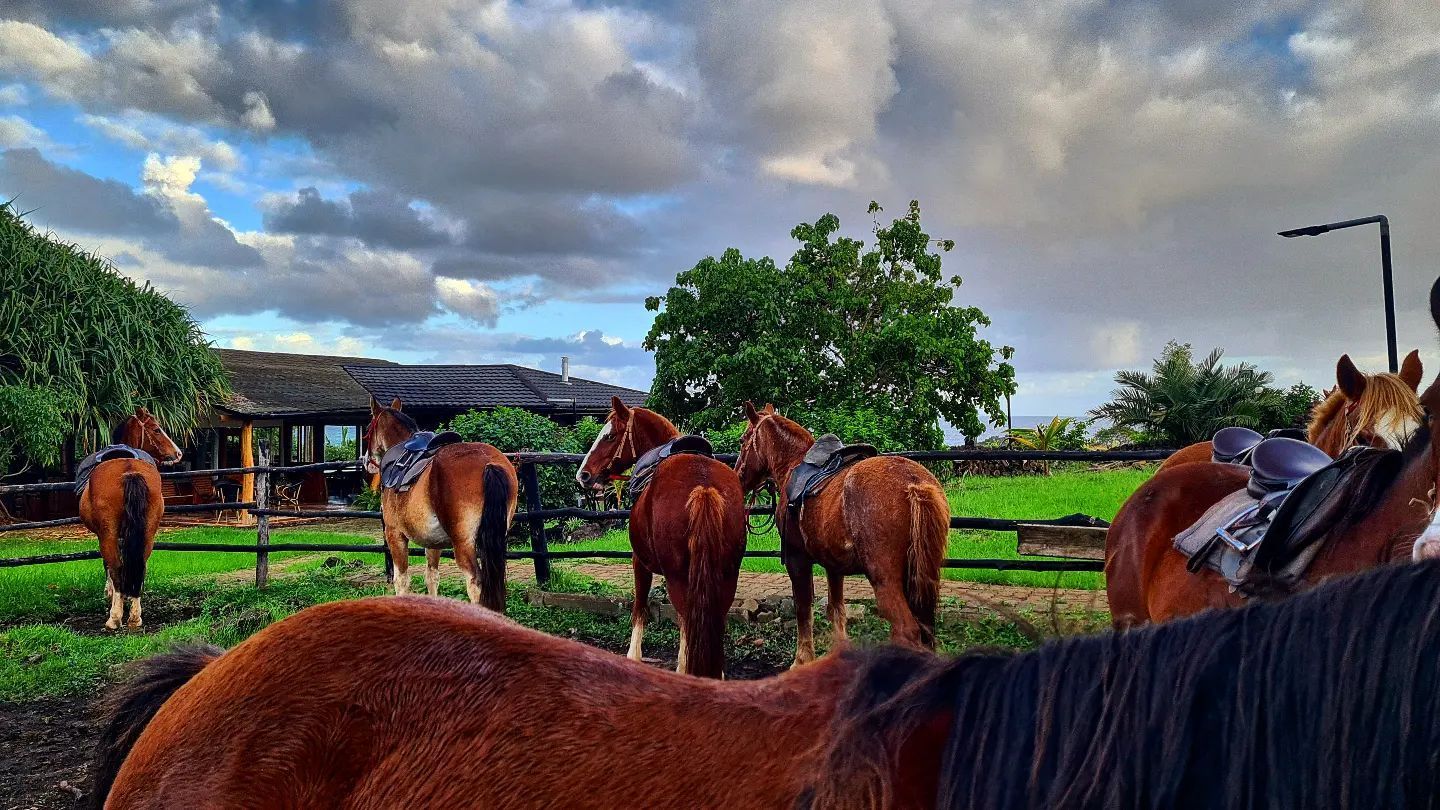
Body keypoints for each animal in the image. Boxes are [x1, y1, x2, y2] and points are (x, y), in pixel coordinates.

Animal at [78, 407, 183, 631]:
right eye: (156, 429)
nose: (178, 453)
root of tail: (130, 471)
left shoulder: (105, 534)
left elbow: (110, 566)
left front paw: (111, 595)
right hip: (148, 532)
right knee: (140, 564)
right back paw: (135, 617)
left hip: (108, 534)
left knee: (116, 566)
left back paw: (115, 618)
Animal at [364, 398, 518, 611]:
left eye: (367, 428)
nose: (366, 461)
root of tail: (489, 464)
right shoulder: (433, 542)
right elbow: (432, 577)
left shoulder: (395, 535)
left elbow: (401, 581)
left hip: (463, 544)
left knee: (475, 583)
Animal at [575, 397, 746, 678]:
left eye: (609, 436)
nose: (584, 474)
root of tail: (704, 487)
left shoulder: (639, 561)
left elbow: (640, 607)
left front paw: (634, 655)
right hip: (727, 574)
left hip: (679, 578)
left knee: (687, 619)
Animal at [734, 402, 947, 666]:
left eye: (743, 439)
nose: (737, 476)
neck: (793, 464)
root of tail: (914, 483)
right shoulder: (833, 566)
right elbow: (836, 609)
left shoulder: (797, 559)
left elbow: (803, 609)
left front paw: (802, 659)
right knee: (926, 630)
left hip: (885, 579)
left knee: (906, 630)